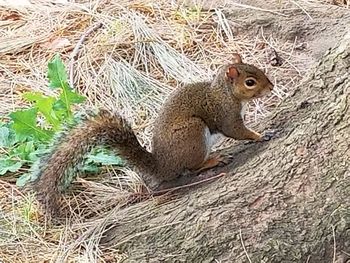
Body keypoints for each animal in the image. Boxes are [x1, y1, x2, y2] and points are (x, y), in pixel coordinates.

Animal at [32, 53, 274, 217]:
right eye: (250, 82)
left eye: (259, 69)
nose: (271, 87)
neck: (225, 92)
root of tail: (162, 165)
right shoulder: (226, 114)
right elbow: (237, 131)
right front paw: (259, 135)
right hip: (193, 133)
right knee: (192, 167)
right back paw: (214, 160)